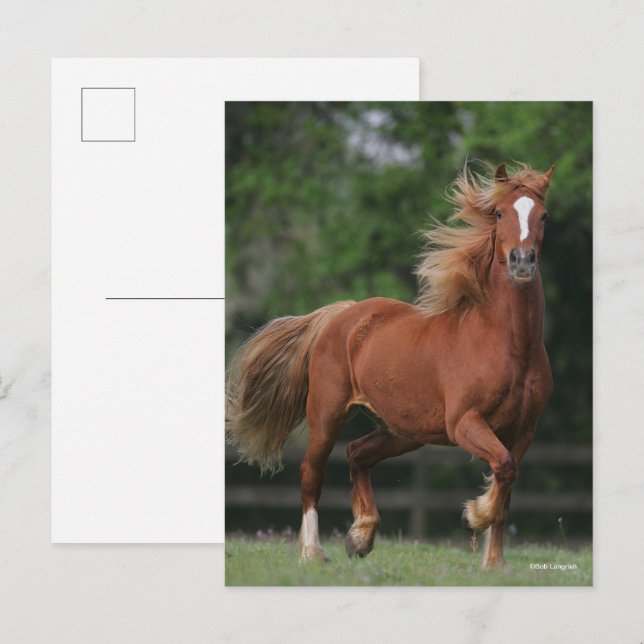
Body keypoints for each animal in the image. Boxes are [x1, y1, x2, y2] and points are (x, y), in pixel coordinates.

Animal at [226, 161, 555, 569]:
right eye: (498, 213)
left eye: (544, 215)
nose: (522, 263)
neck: (508, 346)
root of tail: (341, 314)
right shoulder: (464, 422)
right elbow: (503, 470)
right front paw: (473, 515)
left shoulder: (524, 431)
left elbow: (507, 482)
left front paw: (493, 564)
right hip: (327, 414)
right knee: (311, 474)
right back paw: (313, 553)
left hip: (403, 429)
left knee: (357, 454)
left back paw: (360, 536)